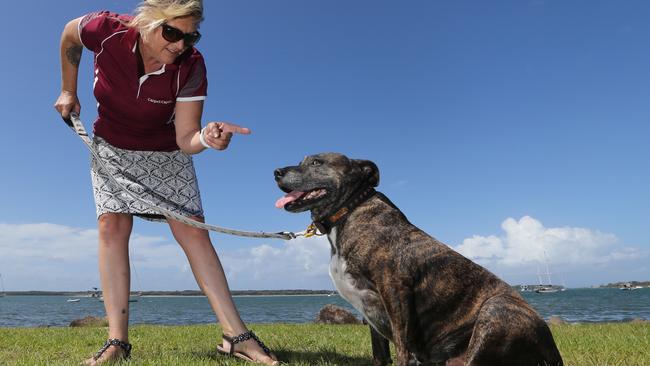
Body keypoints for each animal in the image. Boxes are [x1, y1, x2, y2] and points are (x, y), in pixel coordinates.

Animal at [274, 153, 560, 366]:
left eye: (316, 162)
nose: (276, 171)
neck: (350, 210)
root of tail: (554, 356)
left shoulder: (395, 291)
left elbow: (401, 348)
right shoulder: (370, 311)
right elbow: (380, 354)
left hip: (496, 310)